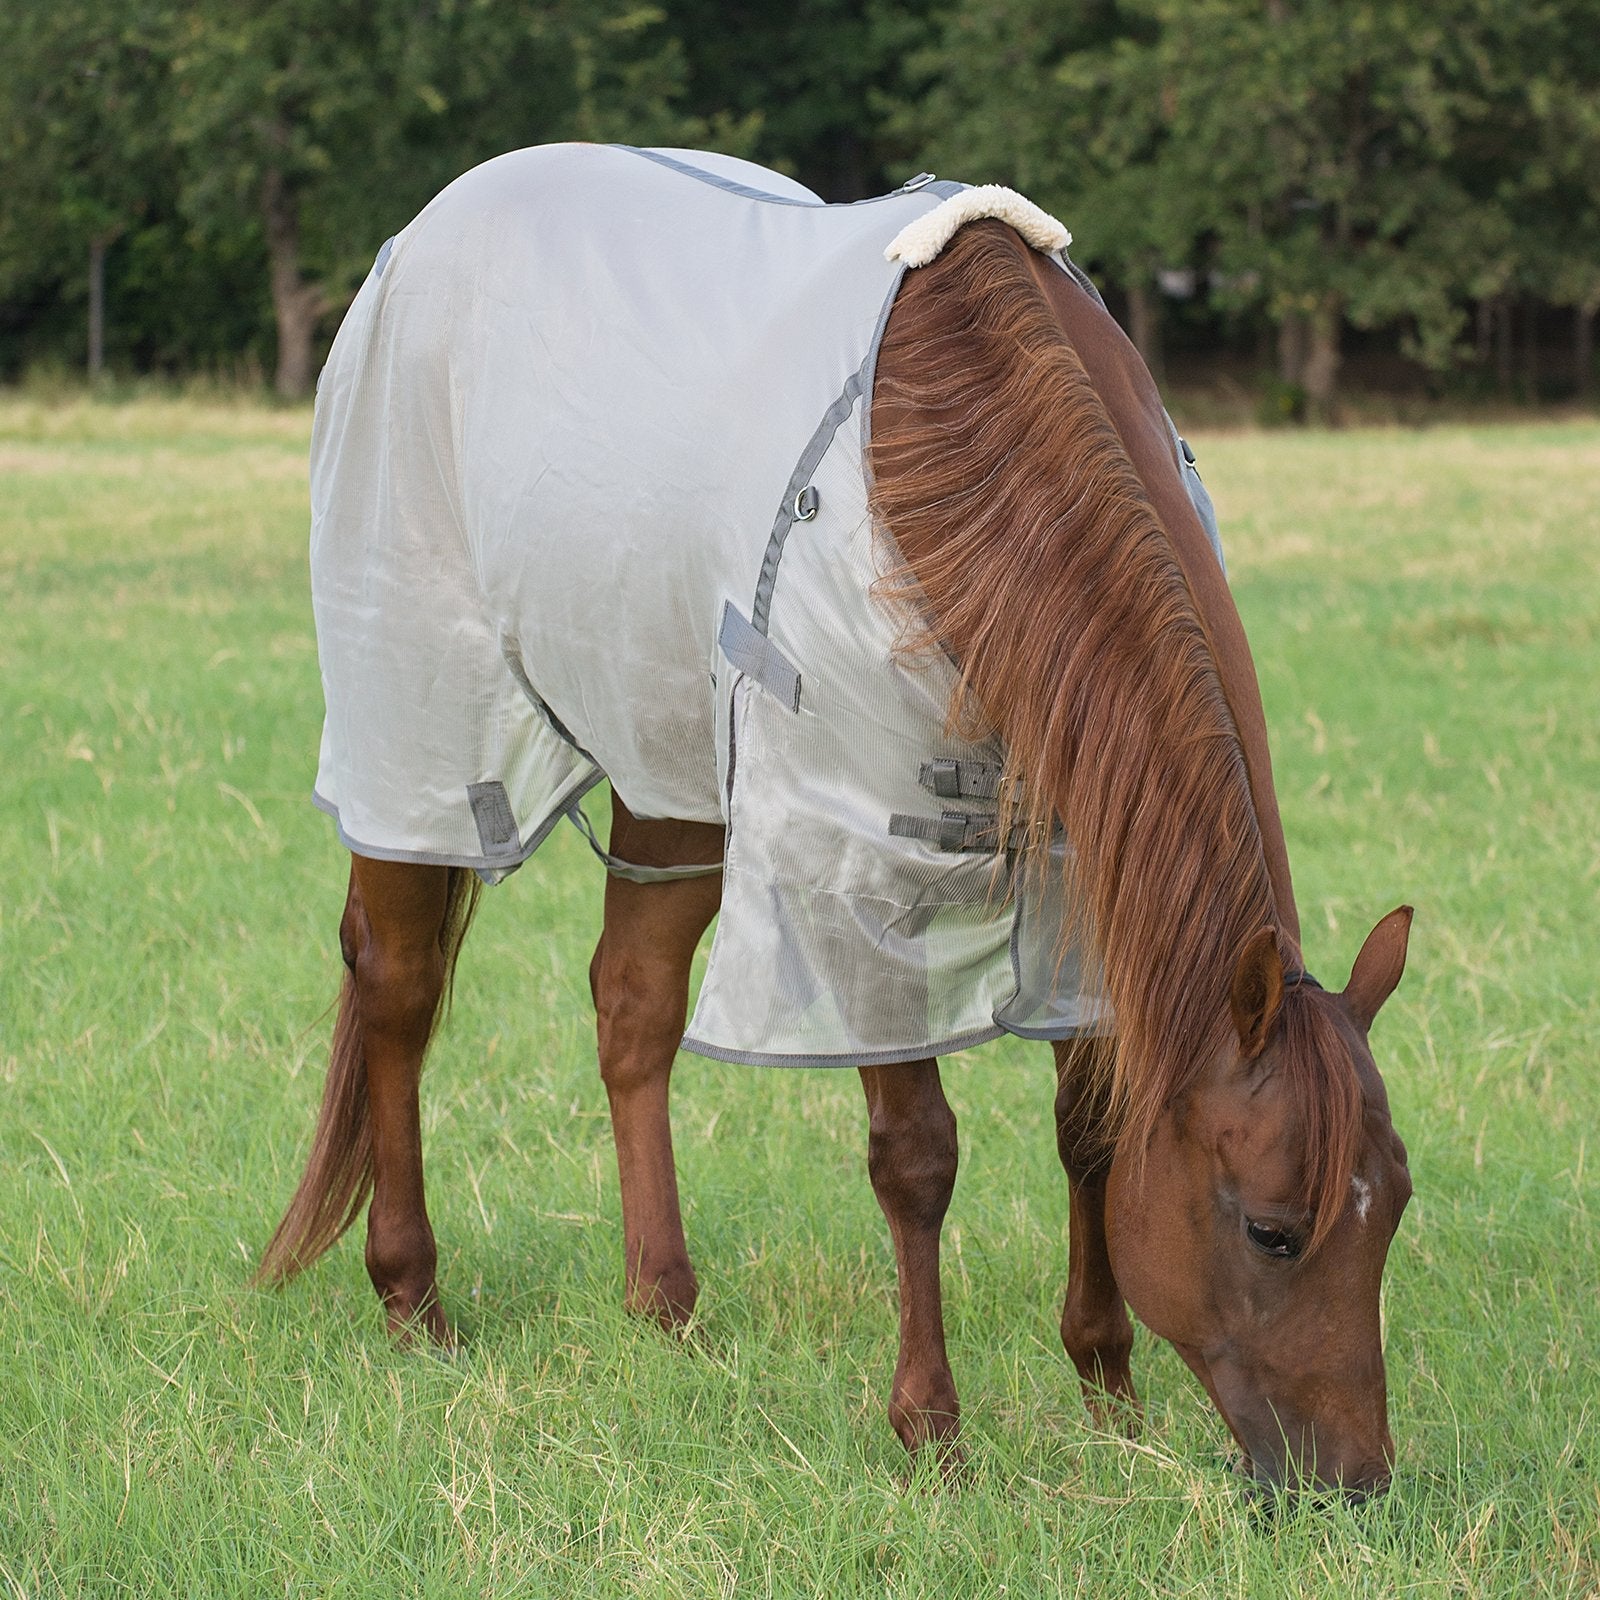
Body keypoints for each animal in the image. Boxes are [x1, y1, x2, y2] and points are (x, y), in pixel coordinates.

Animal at [258, 144, 1414, 1496]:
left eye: (1392, 1205)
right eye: (1274, 1232)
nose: (1355, 1479)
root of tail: (431, 225)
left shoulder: (1080, 868)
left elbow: (1090, 1128)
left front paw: (1106, 1390)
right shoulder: (855, 871)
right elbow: (916, 1155)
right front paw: (933, 1427)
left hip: (672, 757)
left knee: (632, 1000)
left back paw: (663, 1300)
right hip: (422, 724)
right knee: (395, 988)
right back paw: (413, 1297)